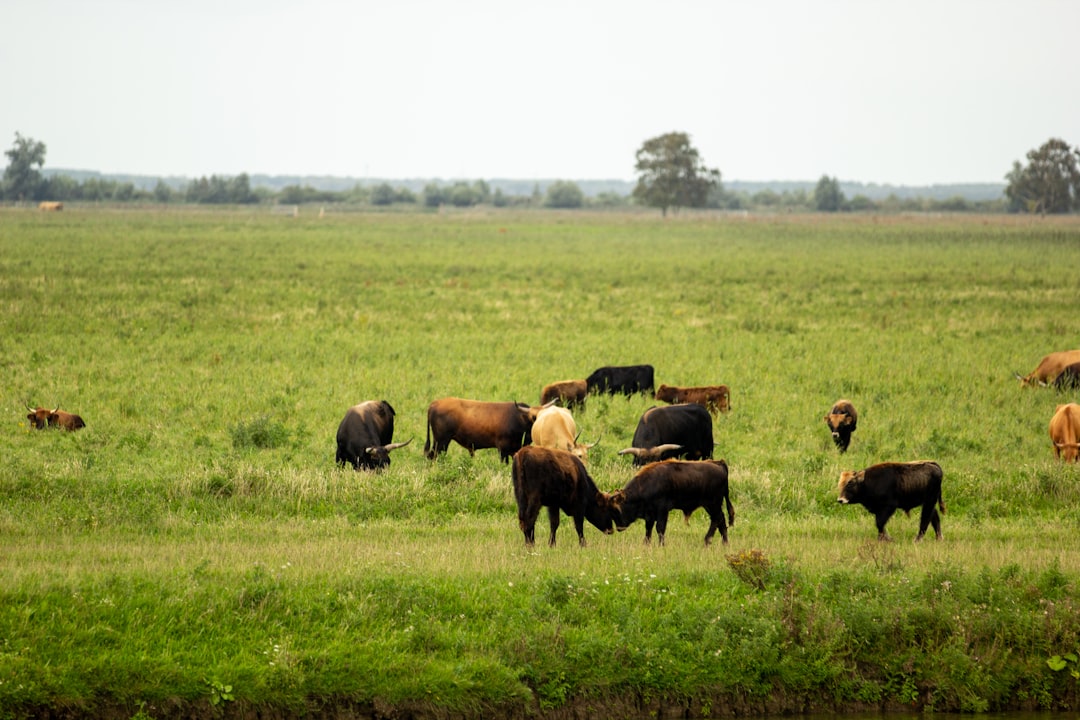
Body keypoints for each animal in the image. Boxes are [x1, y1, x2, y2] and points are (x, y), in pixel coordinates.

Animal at [423, 397, 552, 464]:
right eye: (534, 417)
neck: (518, 418)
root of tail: (435, 403)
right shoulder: (502, 449)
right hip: (441, 441)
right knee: (433, 456)